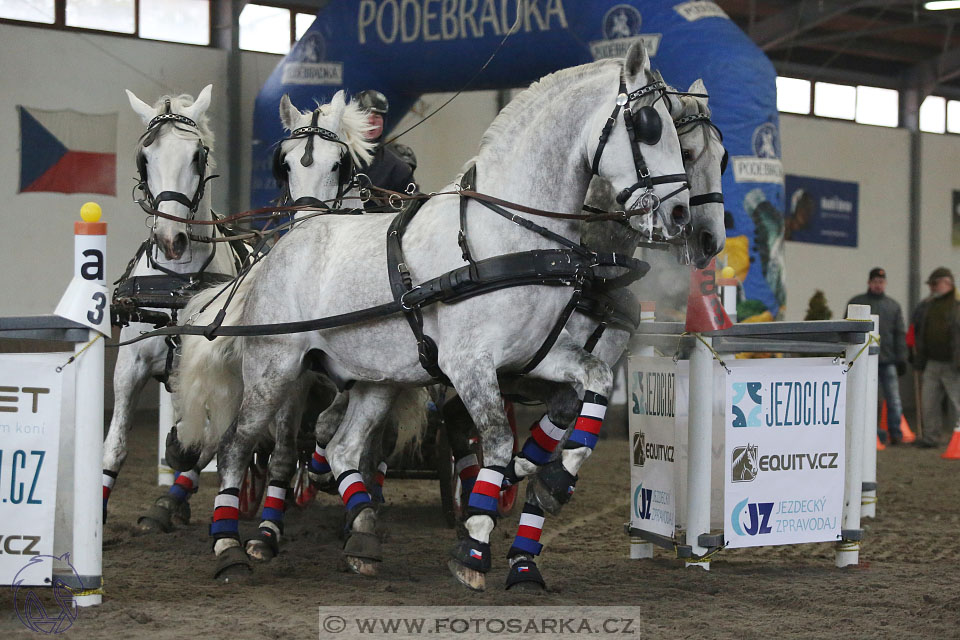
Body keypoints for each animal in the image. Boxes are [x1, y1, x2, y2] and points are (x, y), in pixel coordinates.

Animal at [176, 42, 688, 584]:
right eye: (649, 124)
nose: (680, 214)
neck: (505, 236)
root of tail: (281, 246)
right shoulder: (468, 363)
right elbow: (497, 441)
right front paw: (474, 546)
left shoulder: (535, 355)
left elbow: (594, 384)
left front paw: (551, 481)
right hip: (275, 369)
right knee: (238, 448)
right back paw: (231, 546)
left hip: (377, 378)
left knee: (341, 446)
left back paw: (362, 535)